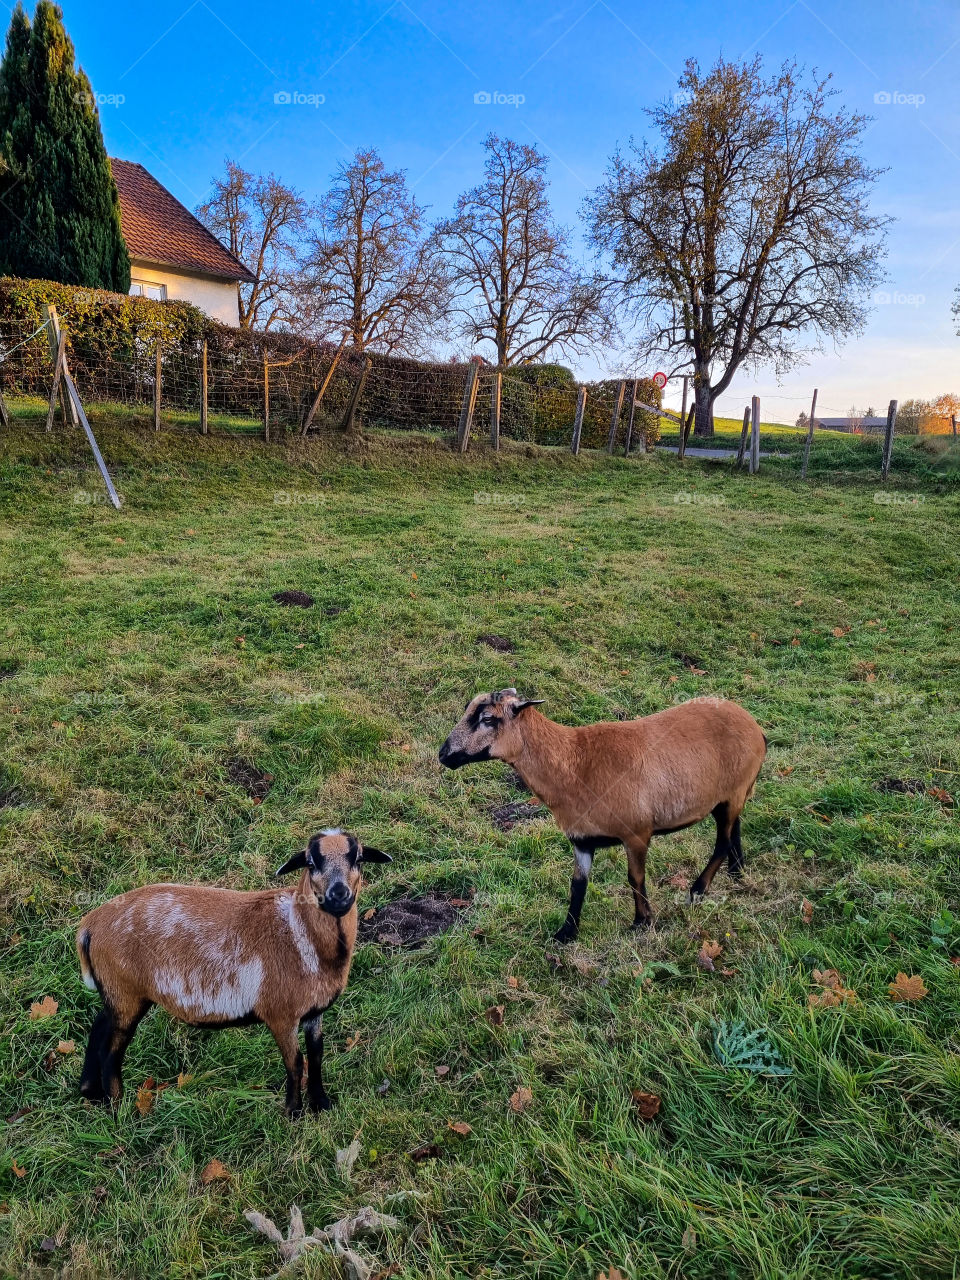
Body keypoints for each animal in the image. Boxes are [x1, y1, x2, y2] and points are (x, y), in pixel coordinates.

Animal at [75, 830, 392, 1116]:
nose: (339, 895)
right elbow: (295, 1061)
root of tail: (90, 925)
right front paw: (292, 1113)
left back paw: (90, 1093)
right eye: (311, 862)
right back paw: (118, 1109)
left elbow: (315, 1055)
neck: (298, 930)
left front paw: (322, 1105)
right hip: (125, 990)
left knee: (99, 1025)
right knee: (110, 1051)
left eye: (358, 858)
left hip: (117, 990)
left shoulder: (314, 1012)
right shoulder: (280, 1014)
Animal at [439, 689, 766, 941]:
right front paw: (566, 934)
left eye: (487, 719)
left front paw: (642, 922)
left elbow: (635, 877)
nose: (443, 755)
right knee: (735, 828)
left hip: (734, 791)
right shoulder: (582, 839)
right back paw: (737, 872)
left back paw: (697, 891)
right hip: (730, 795)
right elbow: (577, 885)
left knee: (721, 842)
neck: (575, 762)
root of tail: (755, 726)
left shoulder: (637, 832)